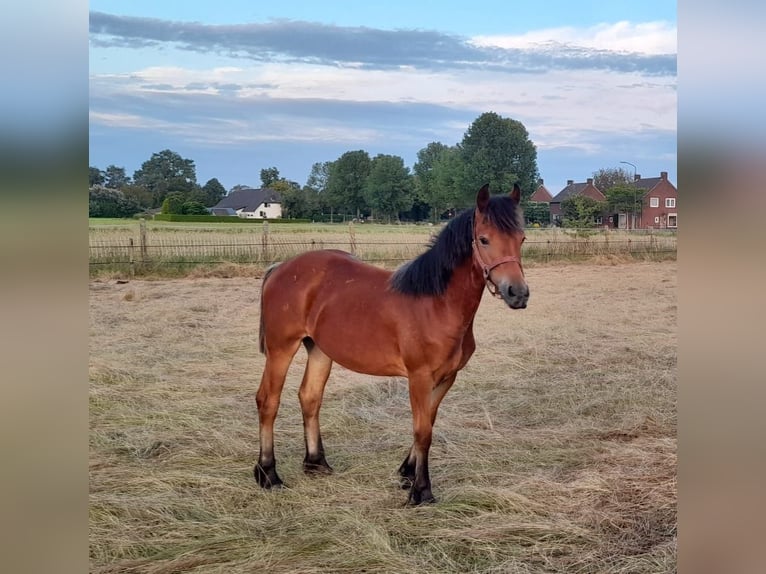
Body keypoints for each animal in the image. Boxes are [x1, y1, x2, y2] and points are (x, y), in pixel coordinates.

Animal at [254, 183, 529, 504]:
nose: (518, 293)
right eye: (484, 239)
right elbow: (422, 430)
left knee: (310, 397)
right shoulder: (419, 377)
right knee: (268, 401)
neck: (437, 304)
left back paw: (316, 464)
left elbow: (428, 422)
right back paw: (268, 474)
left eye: (521, 239)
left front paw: (407, 473)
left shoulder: (446, 377)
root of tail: (280, 268)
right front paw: (421, 491)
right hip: (281, 349)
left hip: (320, 350)